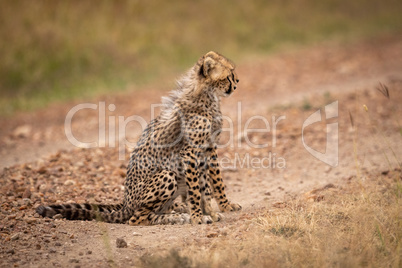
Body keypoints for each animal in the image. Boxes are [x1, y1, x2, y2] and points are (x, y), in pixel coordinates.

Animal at [36, 51, 240, 225]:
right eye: (229, 74)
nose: (237, 81)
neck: (207, 96)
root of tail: (126, 204)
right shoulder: (190, 153)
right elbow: (197, 188)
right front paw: (199, 216)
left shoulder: (207, 148)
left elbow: (210, 184)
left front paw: (213, 211)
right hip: (167, 174)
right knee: (138, 218)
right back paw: (178, 217)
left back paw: (179, 212)